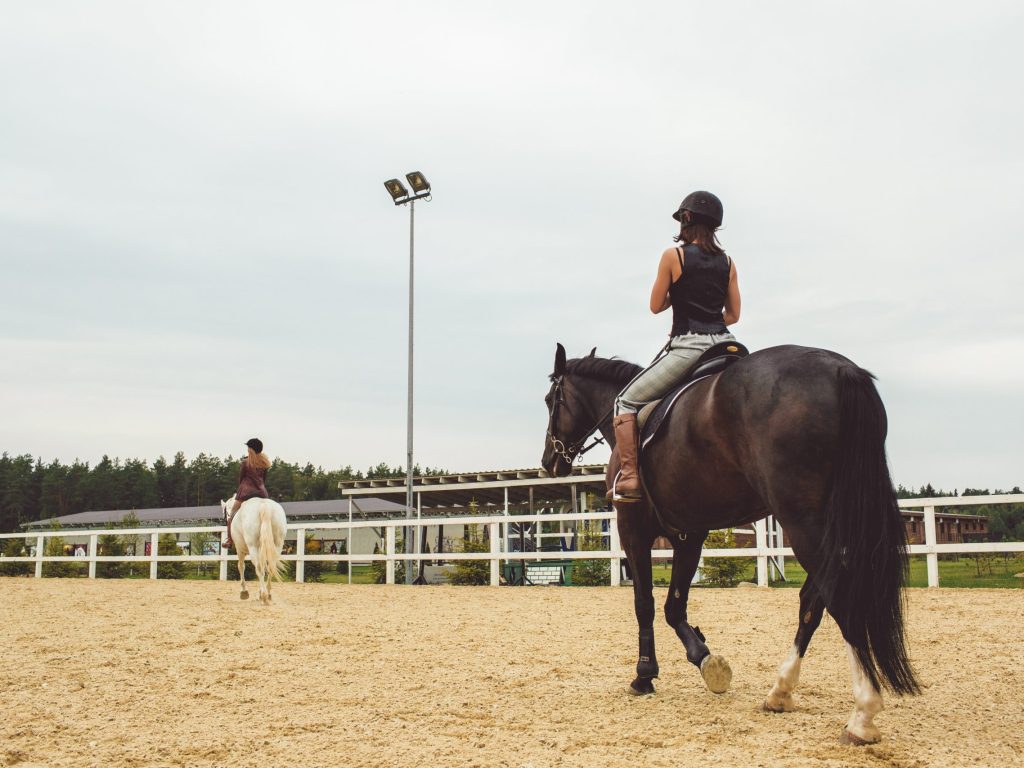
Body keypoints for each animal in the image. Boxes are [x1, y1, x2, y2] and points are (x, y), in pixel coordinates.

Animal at [541, 343, 920, 744]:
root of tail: (839, 369)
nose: (549, 461)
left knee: (839, 600)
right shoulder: (689, 534)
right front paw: (705, 659)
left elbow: (644, 603)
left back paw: (863, 714)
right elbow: (674, 606)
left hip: (803, 521)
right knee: (812, 604)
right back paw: (780, 692)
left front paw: (645, 674)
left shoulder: (633, 529)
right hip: (830, 524)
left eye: (551, 399)